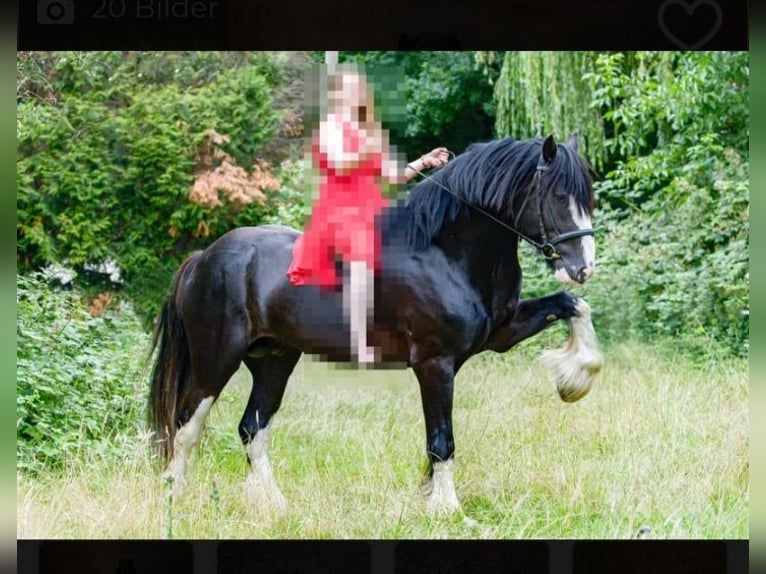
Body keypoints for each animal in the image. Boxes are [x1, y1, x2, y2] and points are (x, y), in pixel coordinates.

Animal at [148, 135, 608, 516]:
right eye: (559, 195)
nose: (582, 267)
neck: (443, 250)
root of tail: (203, 258)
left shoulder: (501, 334)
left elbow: (574, 304)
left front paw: (576, 378)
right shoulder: (435, 364)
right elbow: (441, 440)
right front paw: (447, 508)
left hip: (273, 359)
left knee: (252, 428)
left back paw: (274, 506)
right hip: (216, 359)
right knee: (187, 423)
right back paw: (173, 496)